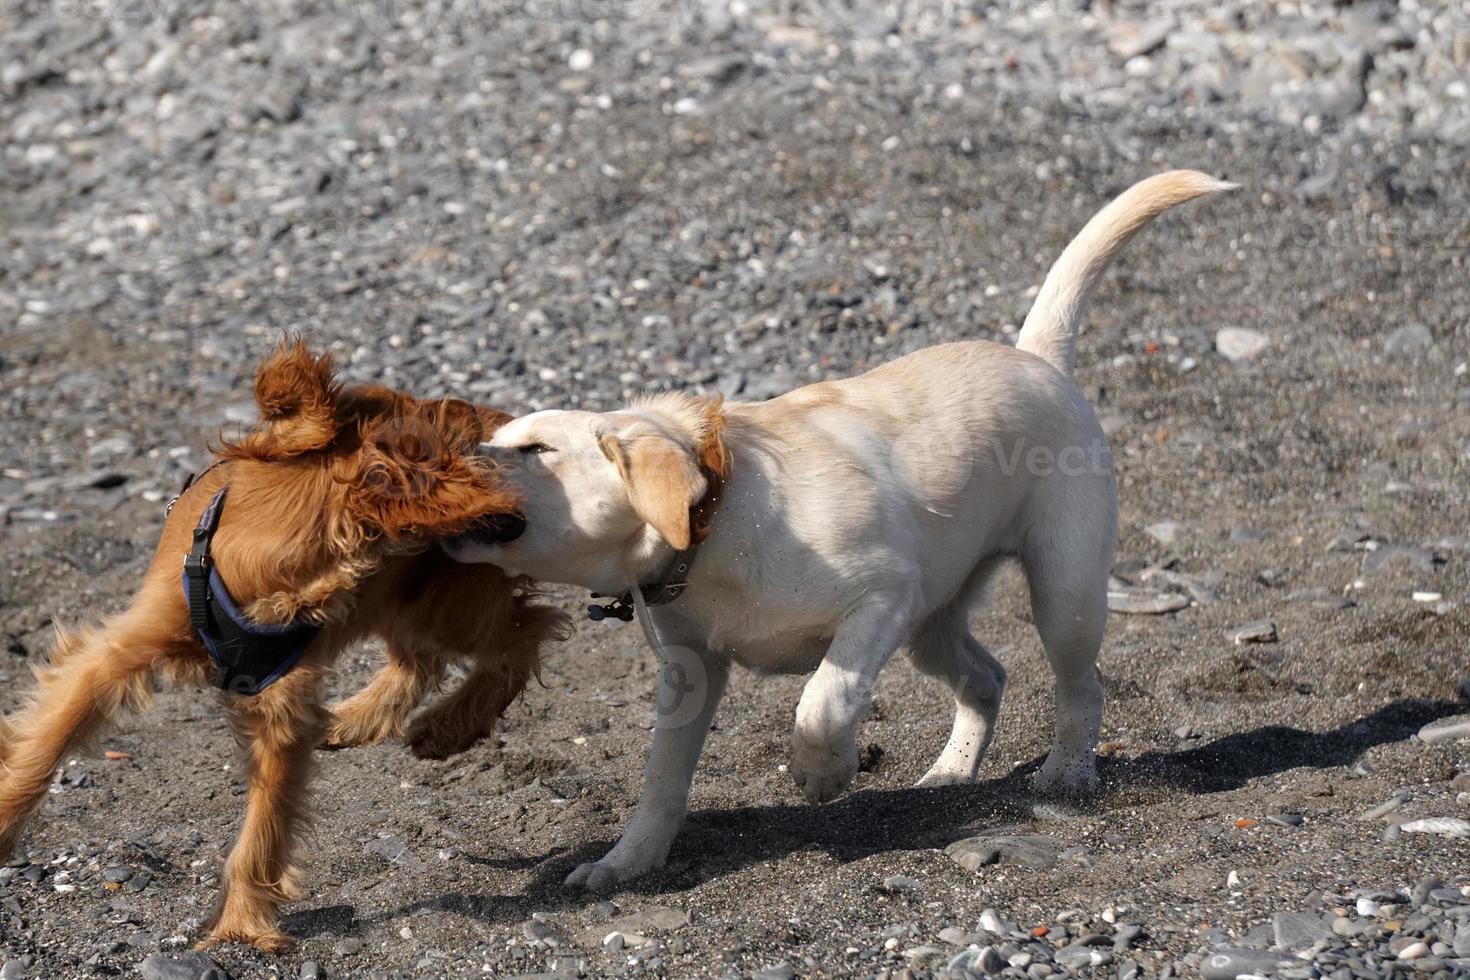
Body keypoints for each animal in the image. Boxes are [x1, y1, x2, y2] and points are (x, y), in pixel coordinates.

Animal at [0, 340, 564, 952]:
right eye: (453, 422)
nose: (510, 426)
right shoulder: (111, 658)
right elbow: (43, 747)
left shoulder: (280, 709)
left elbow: (264, 827)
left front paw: (239, 924)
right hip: (410, 602)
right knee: (429, 656)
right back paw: (360, 723)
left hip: (442, 602)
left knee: (525, 631)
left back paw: (448, 727)